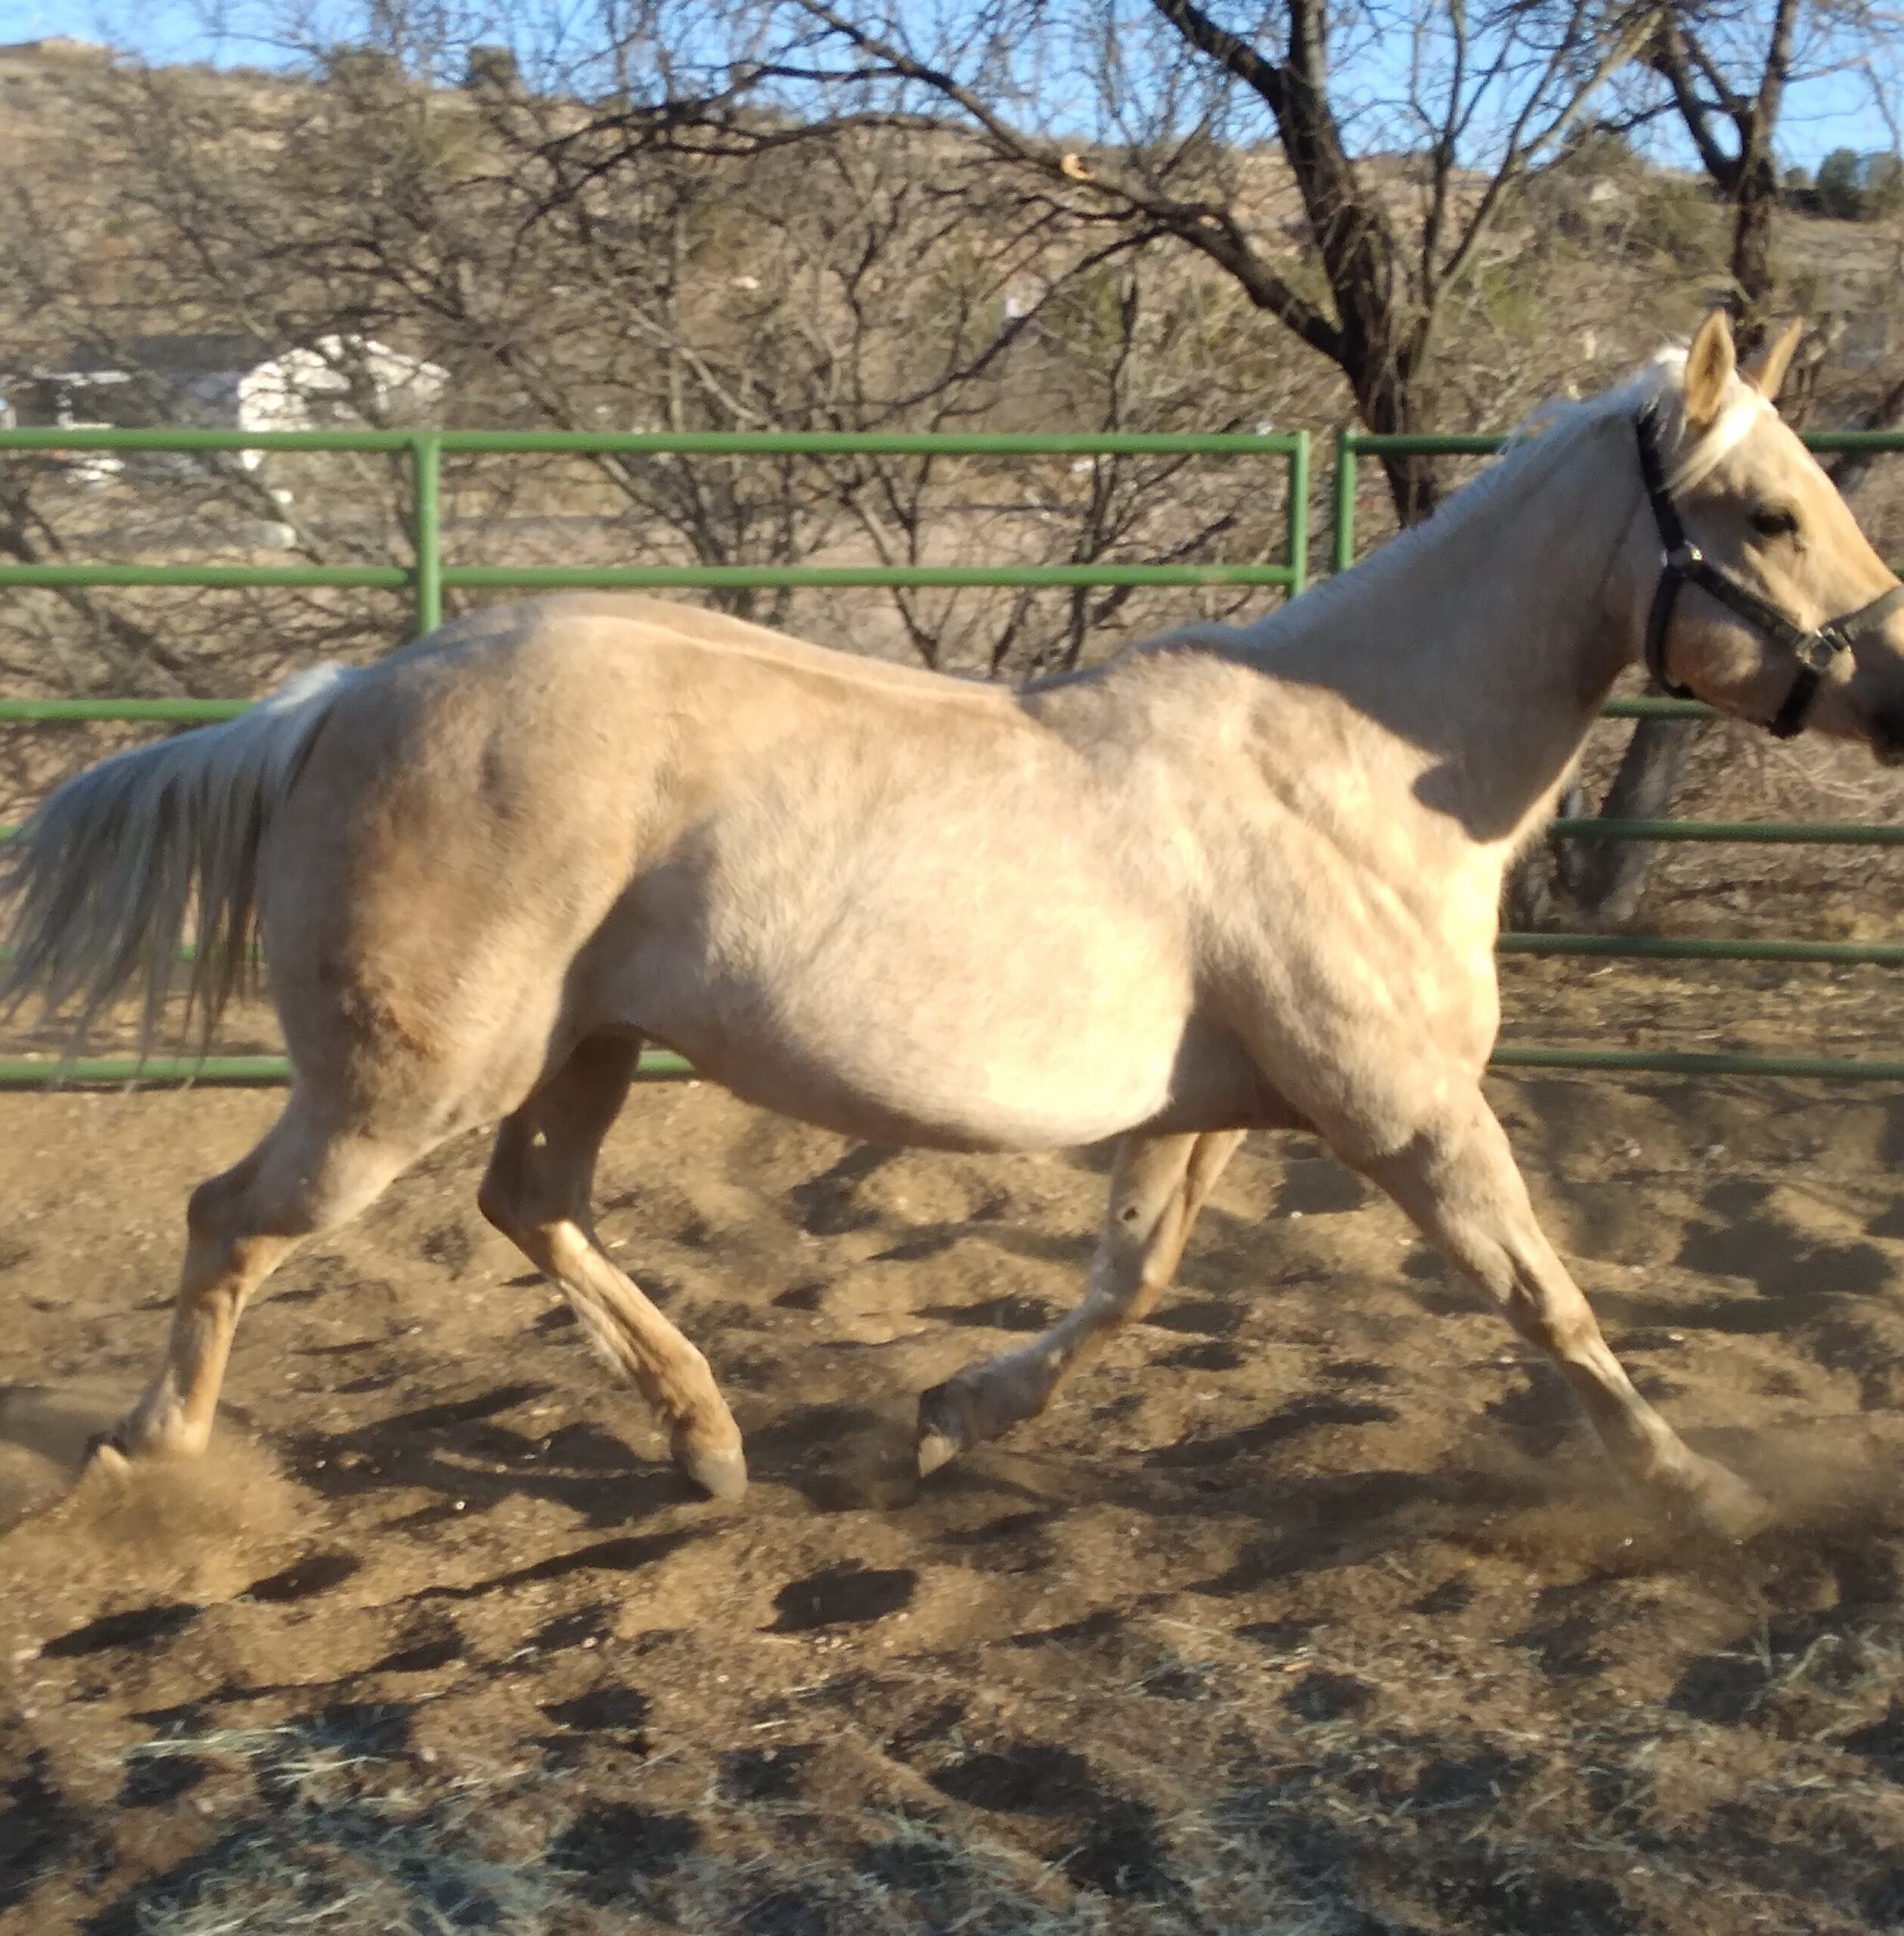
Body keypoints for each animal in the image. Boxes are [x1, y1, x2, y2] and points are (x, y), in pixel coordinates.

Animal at [5, 311, 1903, 1536]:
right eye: (1765, 512)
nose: (1895, 683)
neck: (1346, 765)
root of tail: (337, 696)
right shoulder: (1404, 1111)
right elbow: (1541, 1296)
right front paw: (1701, 1491)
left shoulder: (1213, 1109)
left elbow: (1130, 1283)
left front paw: (947, 1420)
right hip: (404, 1084)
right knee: (234, 1218)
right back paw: (151, 1462)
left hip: (585, 1047)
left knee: (527, 1205)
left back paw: (707, 1446)